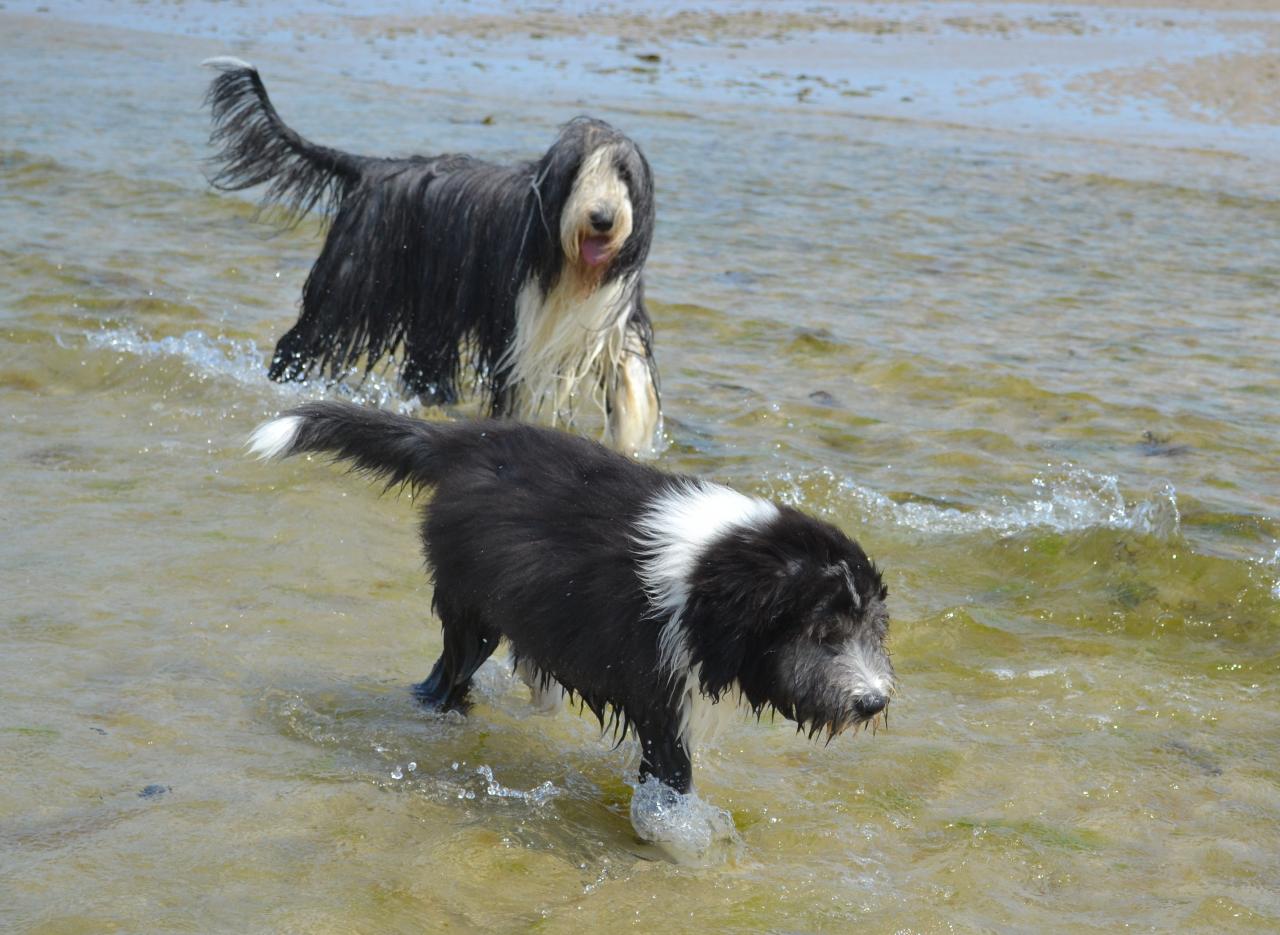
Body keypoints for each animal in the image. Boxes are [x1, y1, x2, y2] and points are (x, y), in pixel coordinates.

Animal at [204, 58, 665, 455]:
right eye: (577, 173)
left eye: (623, 173)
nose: (602, 219)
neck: (569, 266)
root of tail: (370, 169)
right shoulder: (518, 328)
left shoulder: (612, 312)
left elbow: (631, 372)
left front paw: (633, 438)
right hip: (351, 282)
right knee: (300, 340)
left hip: (430, 308)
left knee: (423, 365)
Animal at [247, 399, 890, 824]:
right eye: (825, 634)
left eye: (871, 629)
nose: (875, 702)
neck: (718, 572)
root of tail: (468, 441)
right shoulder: (660, 694)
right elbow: (672, 779)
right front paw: (687, 839)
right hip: (470, 604)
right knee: (447, 673)